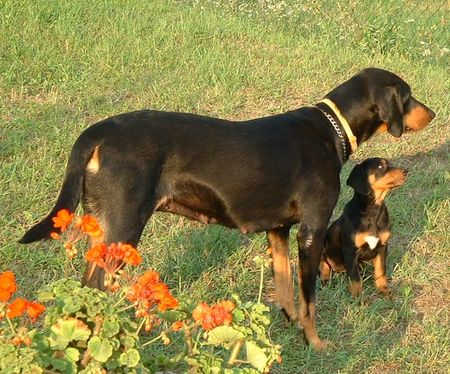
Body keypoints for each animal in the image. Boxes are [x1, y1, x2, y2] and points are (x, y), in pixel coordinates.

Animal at [320, 158, 408, 296]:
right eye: (380, 166)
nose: (406, 171)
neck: (373, 211)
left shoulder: (382, 246)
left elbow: (380, 270)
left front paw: (383, 289)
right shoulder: (350, 250)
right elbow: (355, 278)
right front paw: (357, 297)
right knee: (324, 263)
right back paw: (325, 279)